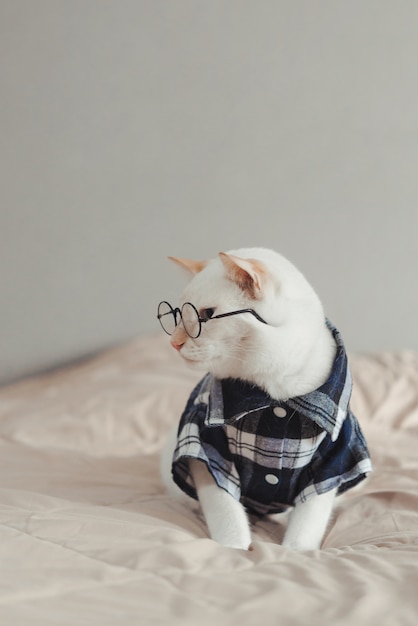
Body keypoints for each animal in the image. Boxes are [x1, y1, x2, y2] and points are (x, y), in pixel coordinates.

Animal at [158, 246, 370, 548]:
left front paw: (294, 553)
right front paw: (233, 549)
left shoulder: (334, 459)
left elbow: (307, 523)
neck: (276, 393)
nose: (174, 343)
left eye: (207, 315)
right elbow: (226, 512)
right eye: (176, 314)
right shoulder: (204, 448)